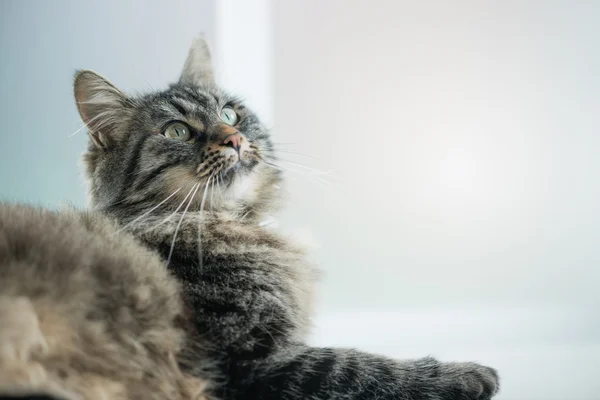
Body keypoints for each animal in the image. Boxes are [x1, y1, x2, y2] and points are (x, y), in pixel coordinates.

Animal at [71, 36, 502, 398]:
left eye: (230, 113)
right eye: (177, 131)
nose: (235, 139)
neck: (234, 224)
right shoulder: (249, 361)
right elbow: (364, 368)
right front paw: (467, 374)